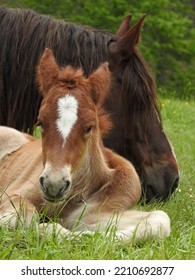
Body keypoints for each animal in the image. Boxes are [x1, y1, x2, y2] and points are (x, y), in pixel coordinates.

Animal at [0, 49, 171, 242]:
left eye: (89, 127)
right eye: (41, 122)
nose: (54, 185)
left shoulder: (96, 212)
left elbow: (159, 220)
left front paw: (50, 230)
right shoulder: (13, 194)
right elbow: (18, 220)